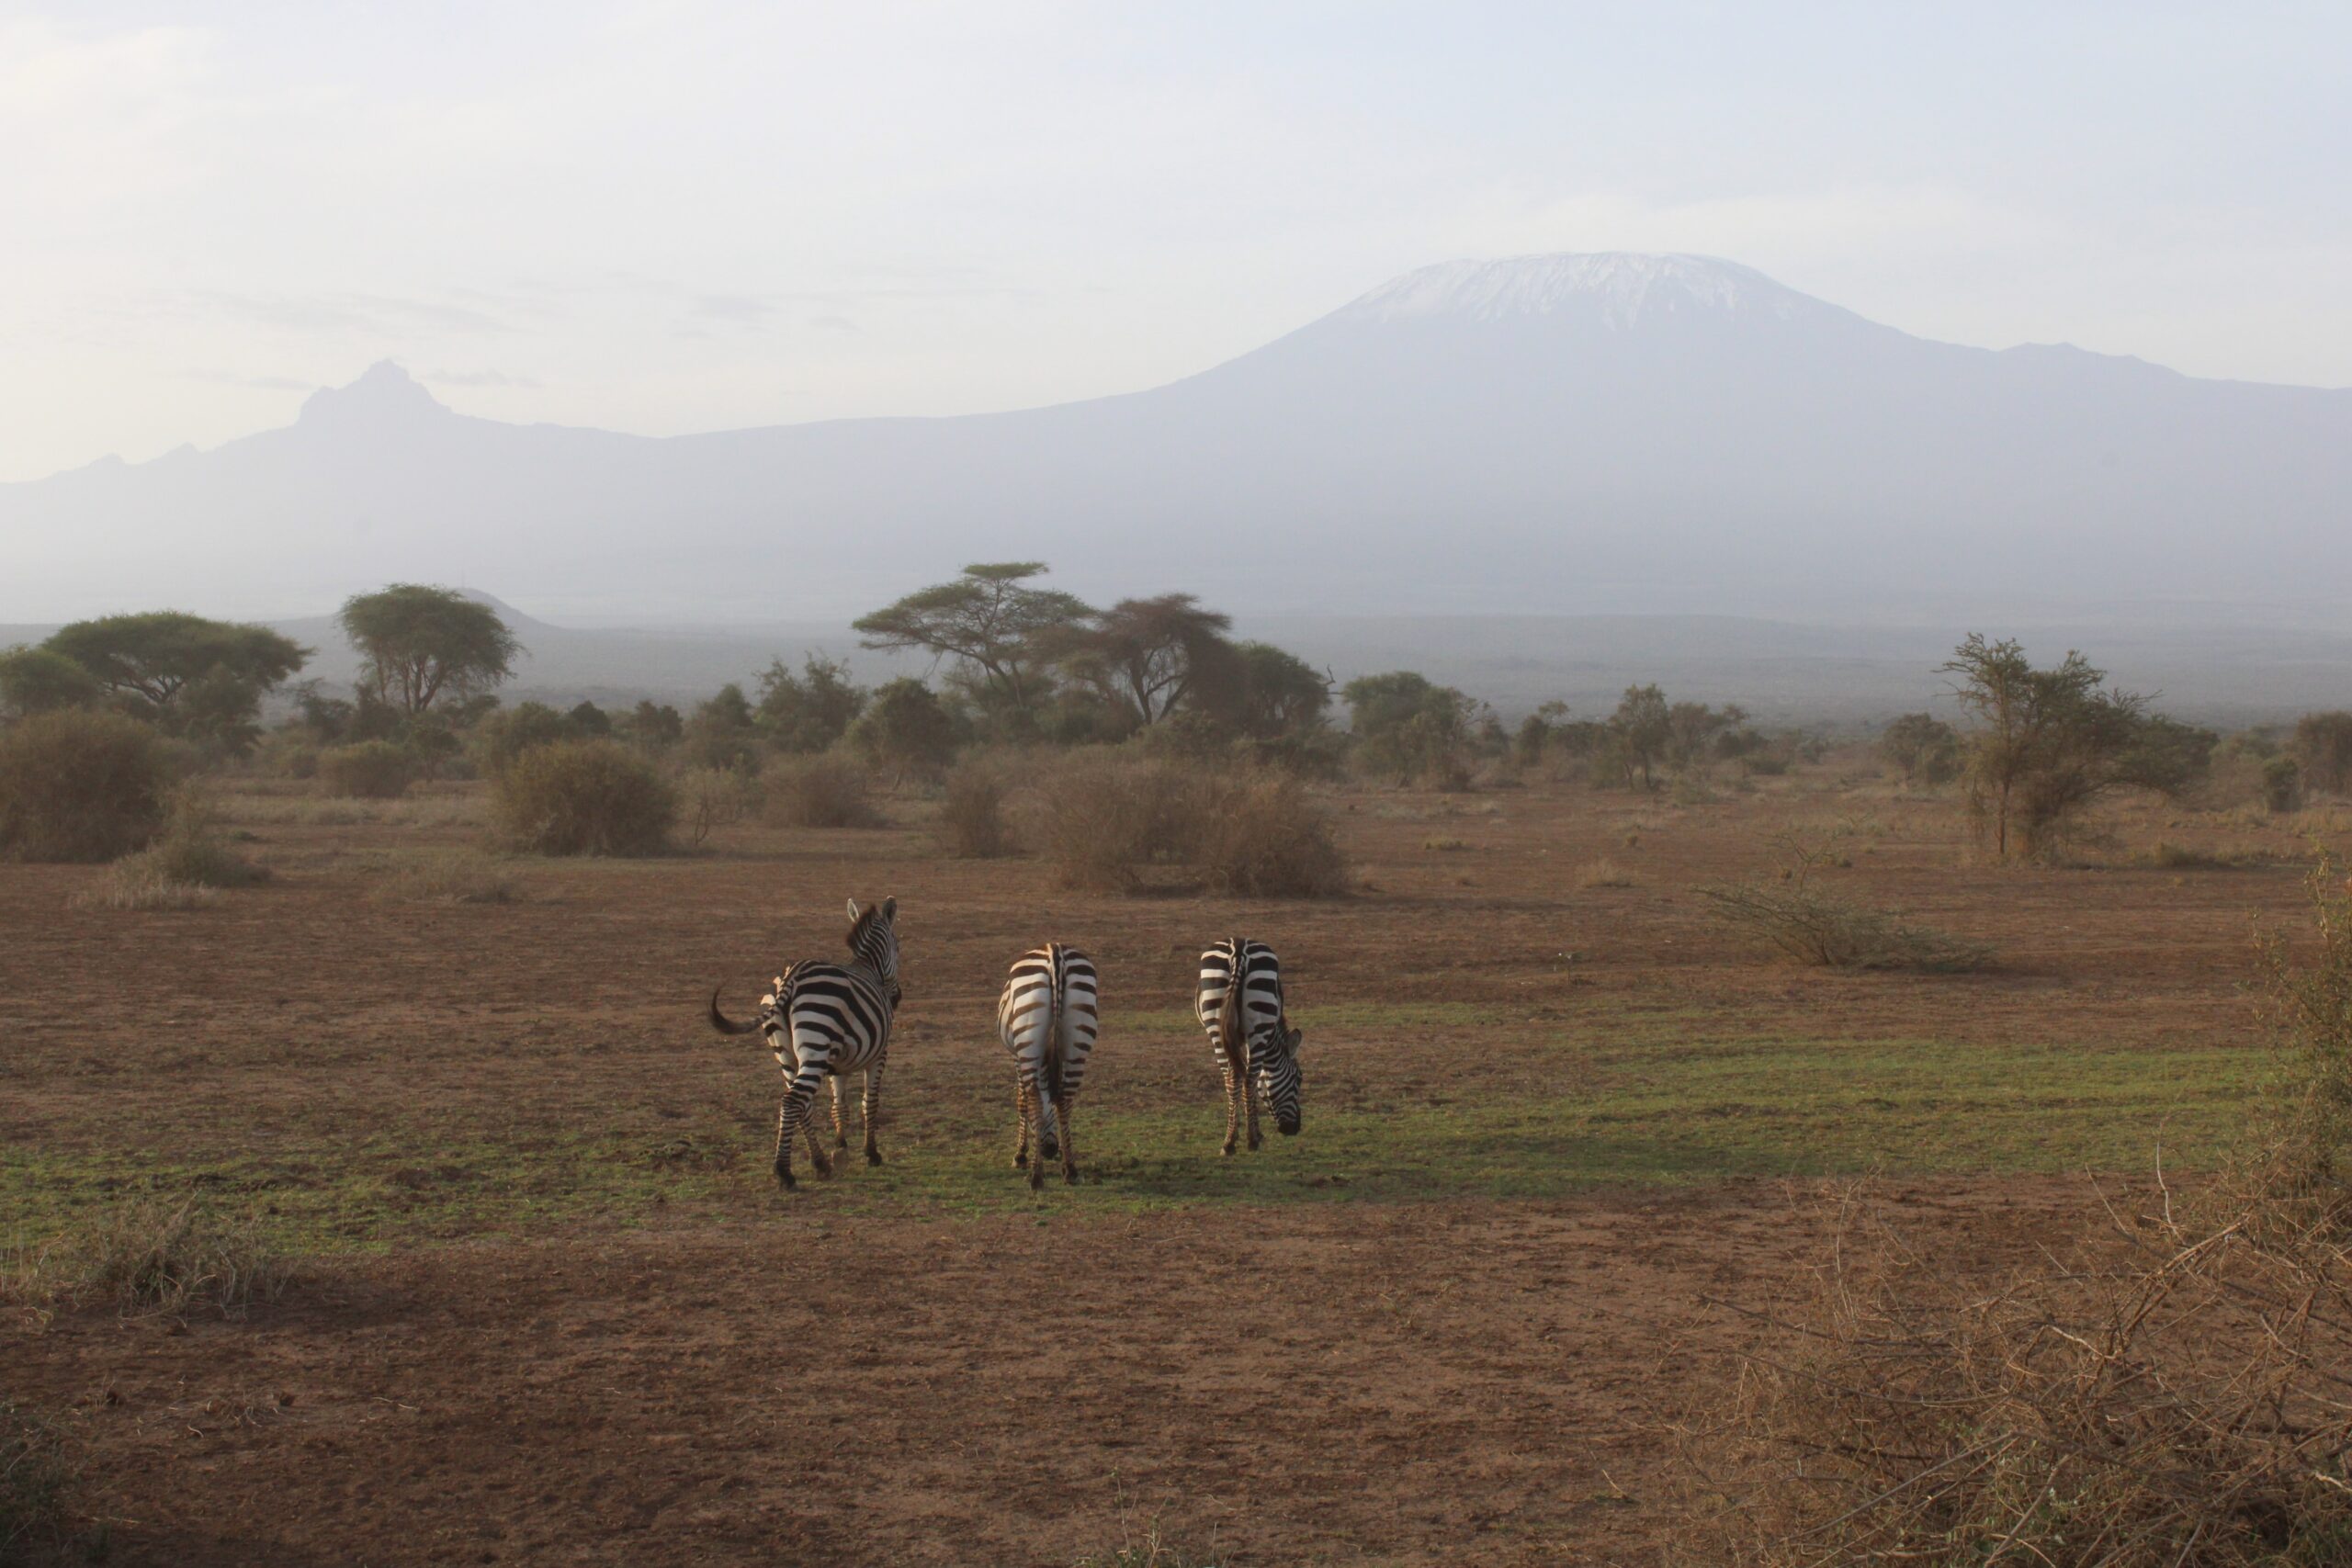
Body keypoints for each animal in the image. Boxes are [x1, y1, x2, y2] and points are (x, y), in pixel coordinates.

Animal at [706, 893, 898, 1189]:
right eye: (897, 947)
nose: (897, 998)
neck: (868, 968)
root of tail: (791, 977)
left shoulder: (838, 1064)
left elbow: (839, 1106)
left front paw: (840, 1148)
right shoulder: (878, 1054)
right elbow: (870, 1102)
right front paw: (871, 1153)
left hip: (786, 1053)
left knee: (801, 1104)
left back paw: (819, 1162)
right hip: (815, 1047)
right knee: (793, 1101)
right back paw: (785, 1172)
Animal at [992, 944, 1101, 1189]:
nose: (1051, 1150)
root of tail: (1055, 951)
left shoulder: (1016, 1056)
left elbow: (1022, 1100)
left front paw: (1020, 1155)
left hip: (1027, 1037)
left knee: (1033, 1095)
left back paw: (1036, 1175)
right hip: (1077, 1038)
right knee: (1065, 1097)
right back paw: (1070, 1170)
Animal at [1194, 940, 1307, 1161]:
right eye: (1298, 1078)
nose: (1294, 1129)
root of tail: (1238, 952)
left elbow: (1239, 1077)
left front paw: (1237, 1131)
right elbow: (1254, 1079)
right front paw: (1255, 1133)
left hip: (1216, 1025)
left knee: (1231, 1077)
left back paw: (1229, 1142)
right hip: (1258, 1025)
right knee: (1249, 1078)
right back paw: (1252, 1140)